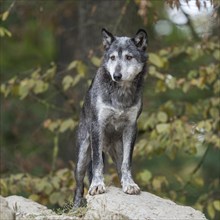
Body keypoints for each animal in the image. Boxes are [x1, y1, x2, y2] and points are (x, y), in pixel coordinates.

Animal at [73, 28, 148, 207]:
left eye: (128, 57)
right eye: (113, 57)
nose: (117, 75)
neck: (121, 93)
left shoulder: (131, 127)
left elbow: (127, 163)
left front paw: (130, 186)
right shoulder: (97, 126)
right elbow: (98, 163)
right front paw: (97, 186)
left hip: (117, 151)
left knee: (121, 169)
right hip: (82, 158)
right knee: (78, 187)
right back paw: (76, 207)